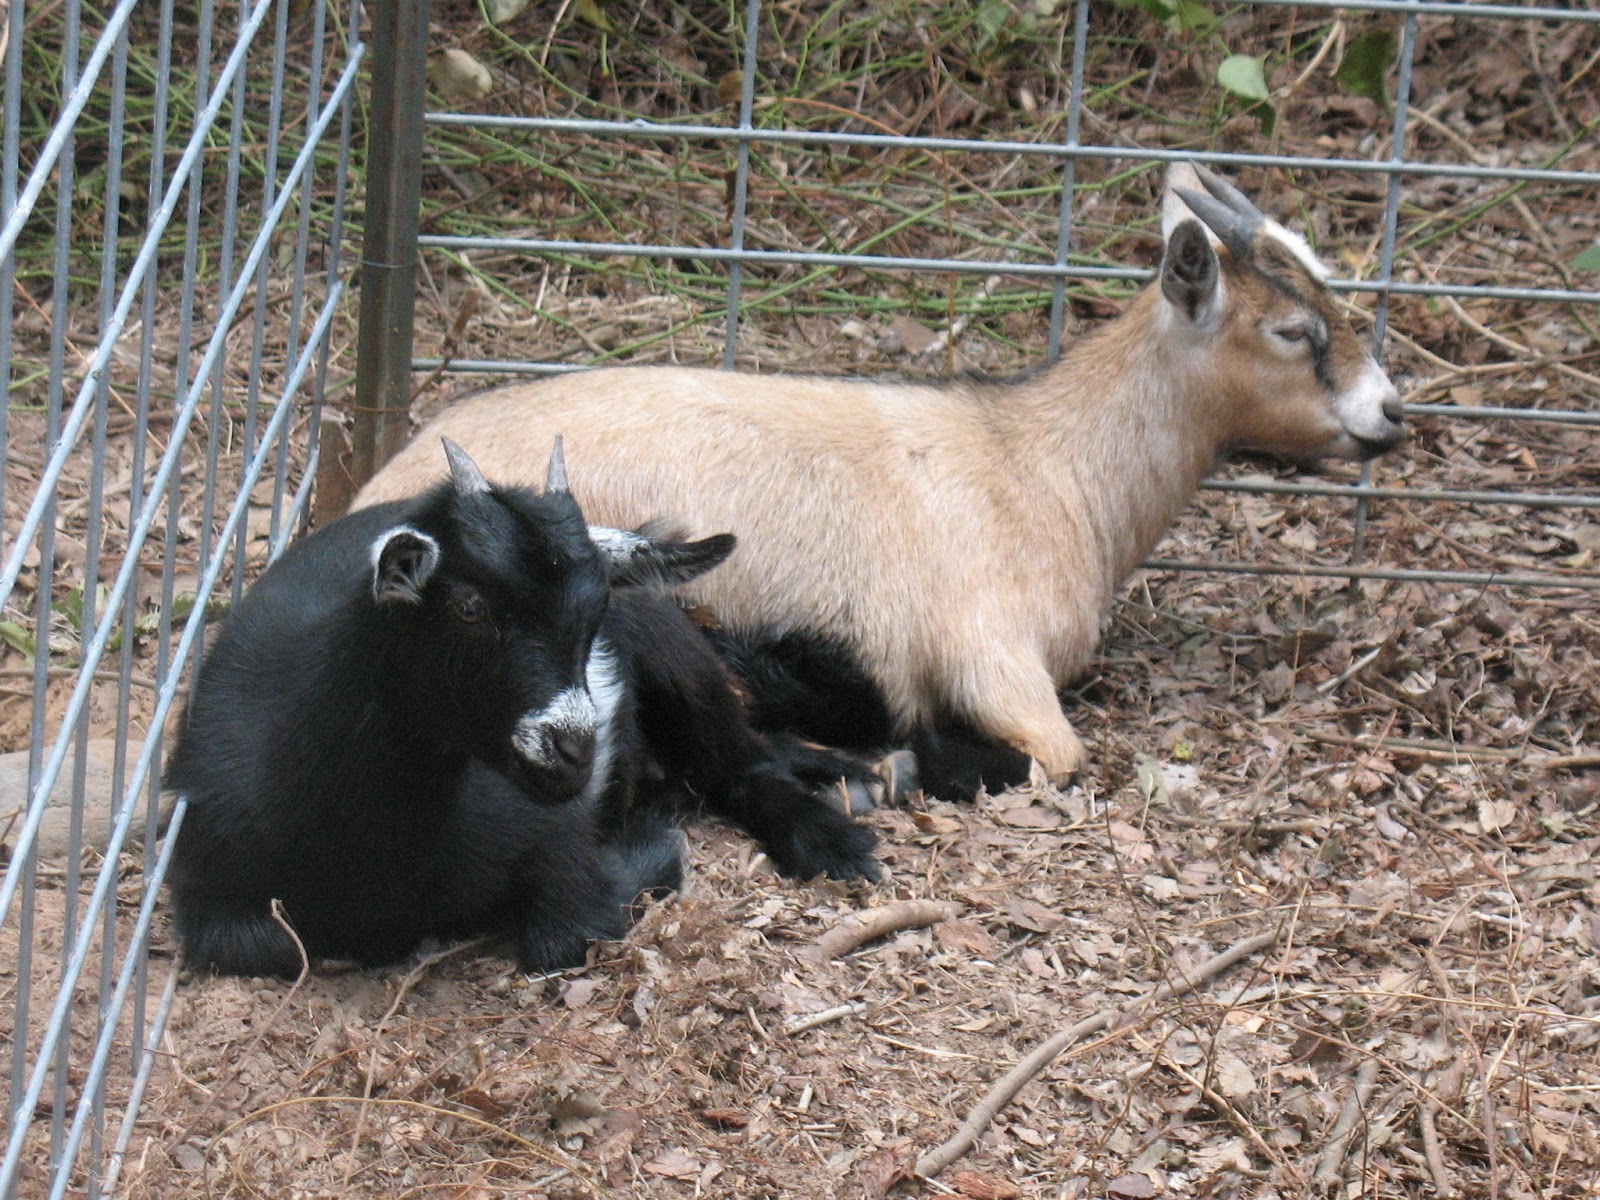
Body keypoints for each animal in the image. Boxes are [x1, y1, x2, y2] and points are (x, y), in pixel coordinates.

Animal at [166, 439, 879, 979]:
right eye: (468, 605)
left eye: (596, 612)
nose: (574, 750)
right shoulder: (205, 875)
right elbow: (264, 945)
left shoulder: (557, 842)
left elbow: (569, 931)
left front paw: (653, 844)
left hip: (670, 642)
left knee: (741, 762)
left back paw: (837, 835)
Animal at [355, 163, 1407, 798]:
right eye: (1292, 331)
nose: (1391, 414)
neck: (1043, 463)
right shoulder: (994, 661)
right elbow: (1054, 756)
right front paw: (899, 761)